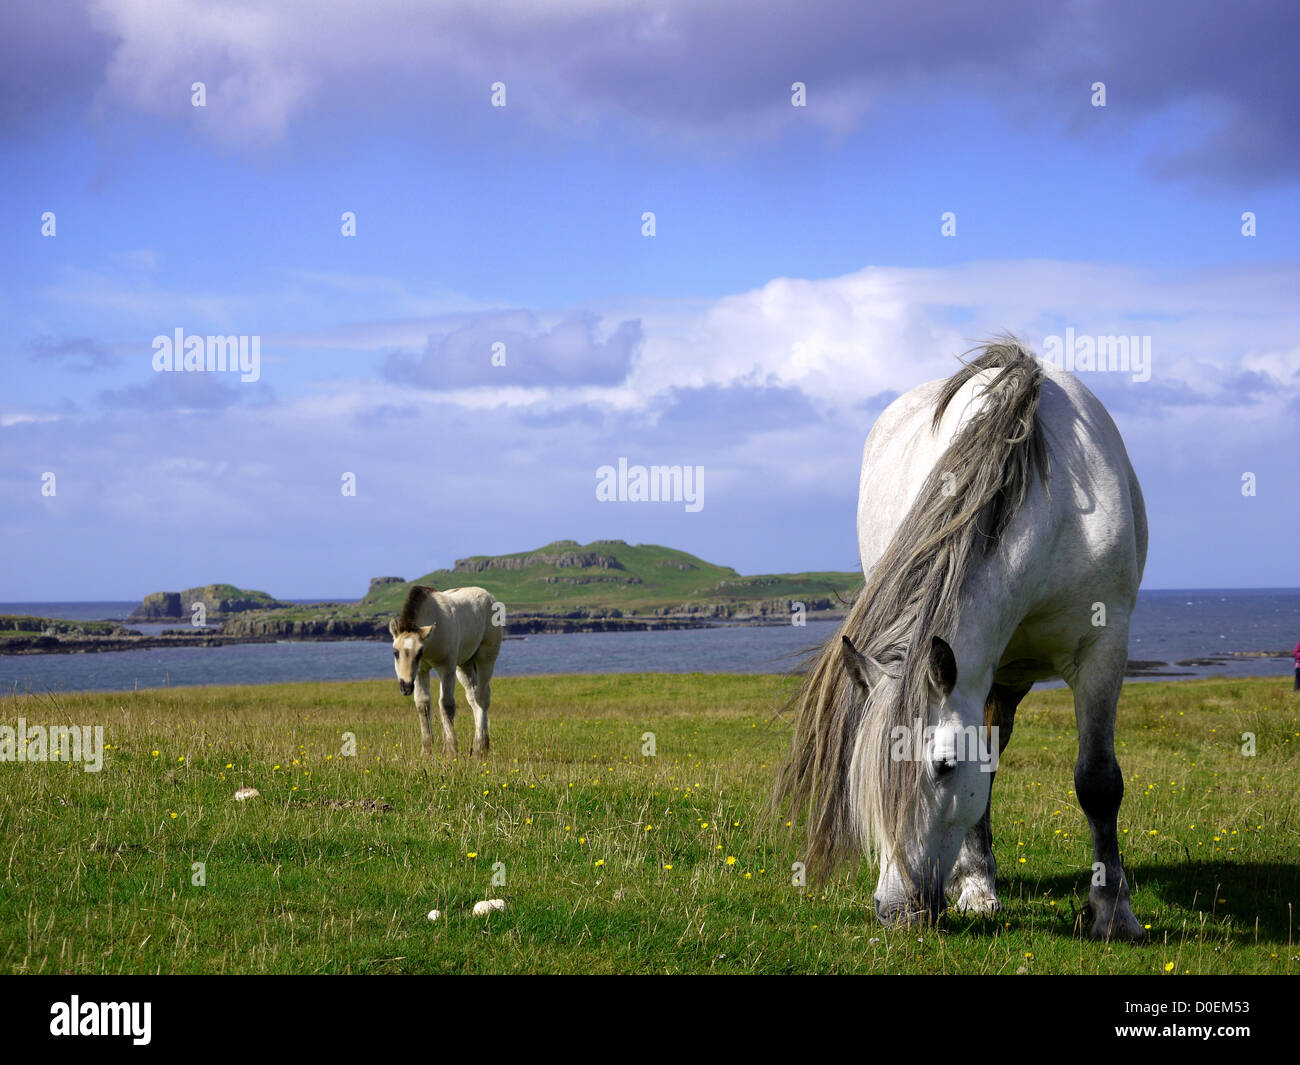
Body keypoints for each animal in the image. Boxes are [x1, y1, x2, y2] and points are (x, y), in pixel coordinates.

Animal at [389, 585, 503, 757]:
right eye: (395, 652)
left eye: (419, 652)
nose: (406, 687)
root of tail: (489, 596)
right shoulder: (421, 671)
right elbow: (423, 704)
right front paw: (426, 751)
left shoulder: (447, 668)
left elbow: (446, 704)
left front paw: (450, 750)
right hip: (464, 665)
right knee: (472, 697)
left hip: (486, 657)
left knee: (482, 697)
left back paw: (480, 748)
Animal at [775, 339, 1148, 940]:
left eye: (944, 766)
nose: (896, 912)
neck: (1055, 500)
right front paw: (975, 885)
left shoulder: (1103, 651)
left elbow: (1098, 782)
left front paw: (1113, 911)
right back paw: (975, 882)